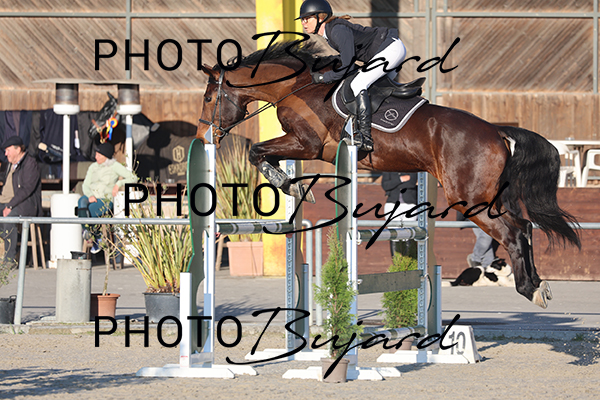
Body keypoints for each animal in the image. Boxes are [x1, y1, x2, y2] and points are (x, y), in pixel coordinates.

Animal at [196, 40, 580, 309]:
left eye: (209, 98)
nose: (203, 136)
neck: (298, 87)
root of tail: (497, 131)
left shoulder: (306, 144)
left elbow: (257, 151)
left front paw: (285, 183)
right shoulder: (304, 147)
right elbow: (263, 153)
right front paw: (289, 183)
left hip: (469, 199)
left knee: (513, 233)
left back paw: (528, 289)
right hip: (486, 196)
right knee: (525, 226)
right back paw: (538, 284)